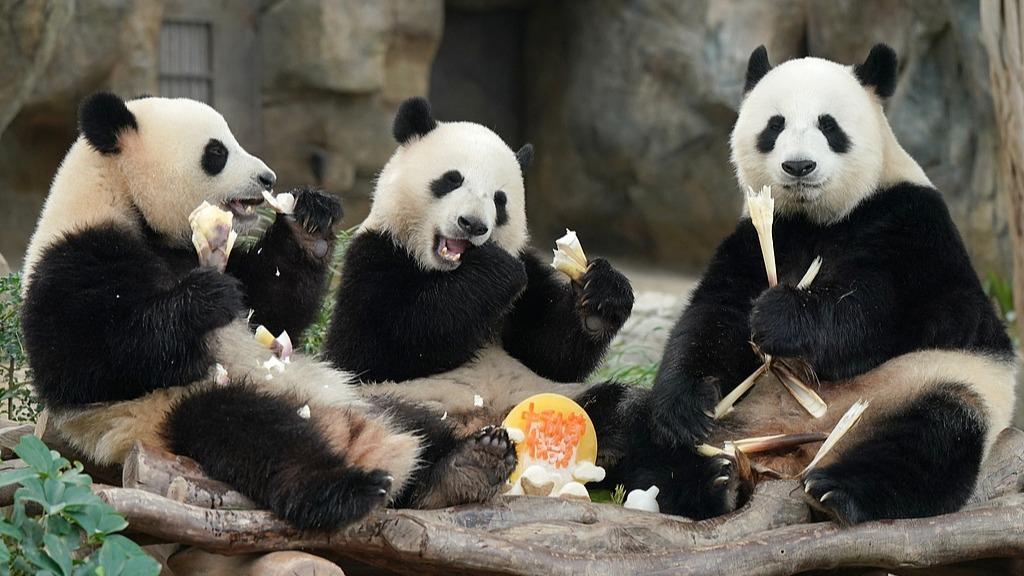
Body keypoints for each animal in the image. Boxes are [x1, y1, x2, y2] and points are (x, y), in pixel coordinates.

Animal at [20, 93, 522, 530]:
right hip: (171, 410)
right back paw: (347, 490)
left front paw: (309, 223)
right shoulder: (72, 259)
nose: (267, 178)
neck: (122, 201)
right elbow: (85, 360)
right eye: (216, 152)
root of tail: (352, 432)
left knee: (419, 422)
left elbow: (274, 308)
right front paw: (205, 298)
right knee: (257, 436)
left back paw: (470, 461)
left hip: (360, 393)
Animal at [322, 98, 639, 465]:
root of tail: (489, 420)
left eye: (500, 199)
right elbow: (375, 344)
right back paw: (465, 464)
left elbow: (551, 353)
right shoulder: (374, 256)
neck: (446, 272)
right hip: (389, 398)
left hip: (557, 395)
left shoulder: (530, 275)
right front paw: (495, 271)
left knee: (627, 406)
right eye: (451, 180)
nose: (472, 224)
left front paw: (602, 297)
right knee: (396, 426)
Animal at [631, 44, 1018, 524]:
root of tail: (790, 451)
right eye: (775, 125)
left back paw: (838, 491)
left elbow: (882, 313)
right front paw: (687, 405)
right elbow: (714, 314)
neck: (817, 218)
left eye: (828, 125)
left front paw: (780, 316)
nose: (799, 166)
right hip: (736, 418)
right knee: (634, 425)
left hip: (926, 383)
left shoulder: (913, 225)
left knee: (935, 434)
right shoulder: (760, 234)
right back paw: (712, 482)